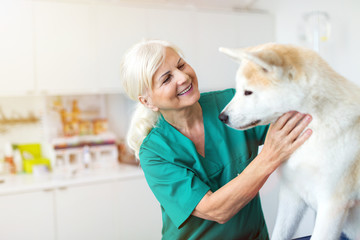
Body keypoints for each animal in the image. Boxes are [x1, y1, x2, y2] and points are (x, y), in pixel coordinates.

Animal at [217, 43, 360, 240]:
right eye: (238, 90)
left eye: (248, 92)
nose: (222, 117)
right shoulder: (291, 195)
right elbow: (279, 233)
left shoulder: (332, 206)